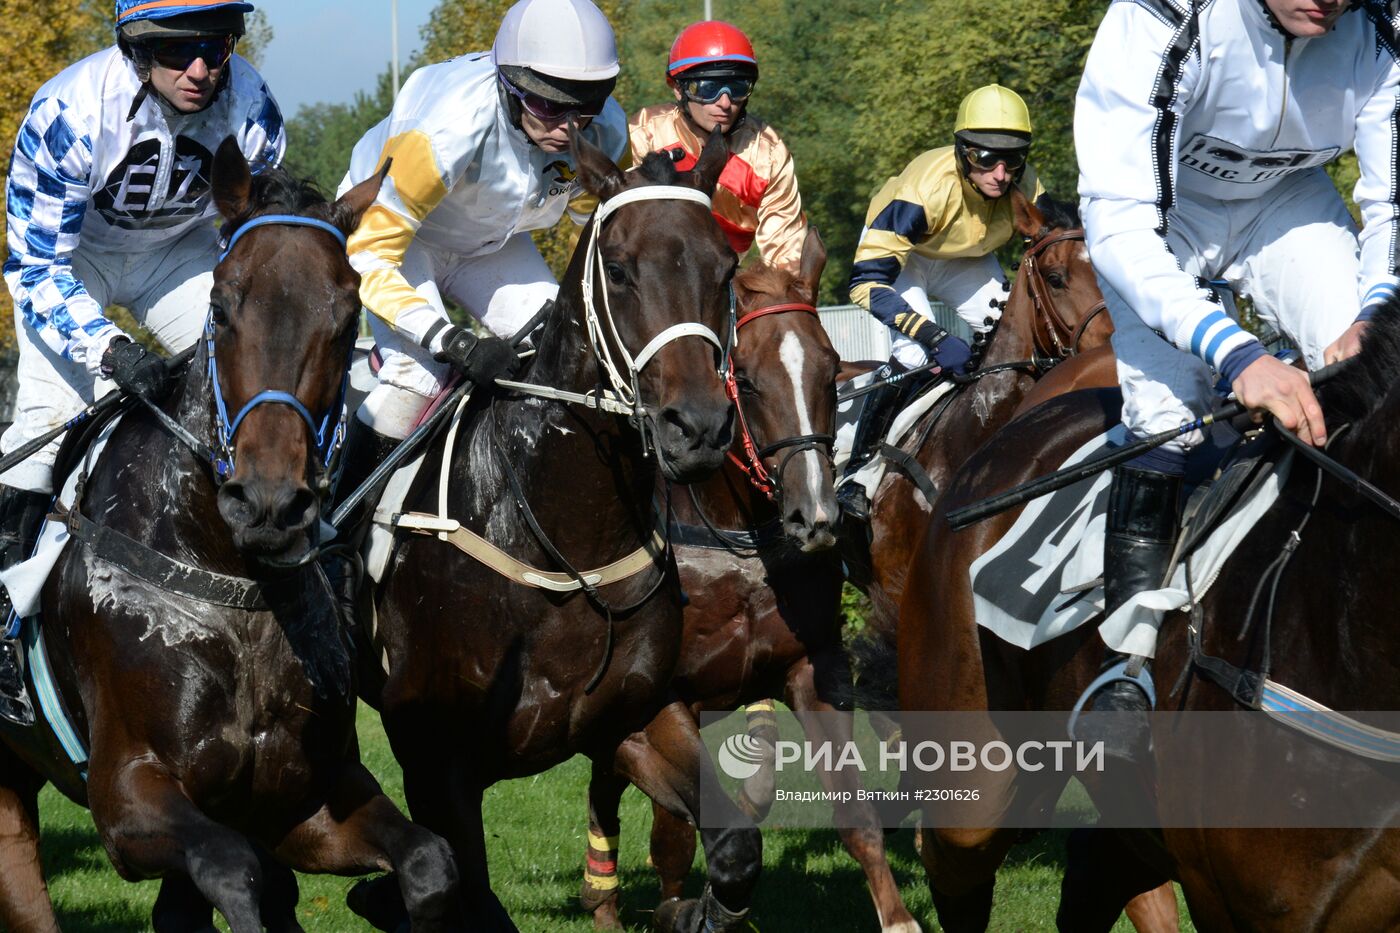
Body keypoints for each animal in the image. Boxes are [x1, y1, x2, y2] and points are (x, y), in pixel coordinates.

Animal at [0, 140, 453, 930]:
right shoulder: (126, 796)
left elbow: (428, 860)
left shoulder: (304, 798)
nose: (268, 502)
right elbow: (234, 870)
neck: (230, 579)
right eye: (221, 305)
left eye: (348, 315)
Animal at [350, 132, 767, 930]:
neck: (562, 542)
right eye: (620, 268)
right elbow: (465, 892)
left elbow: (734, 849)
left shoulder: (635, 716)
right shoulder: (437, 763)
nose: (698, 427)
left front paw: (694, 909)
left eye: (725, 267)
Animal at [576, 226, 918, 930]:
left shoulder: (812, 668)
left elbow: (856, 818)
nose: (816, 516)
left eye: (828, 370)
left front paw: (898, 916)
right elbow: (681, 830)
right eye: (751, 384)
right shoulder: (654, 703)